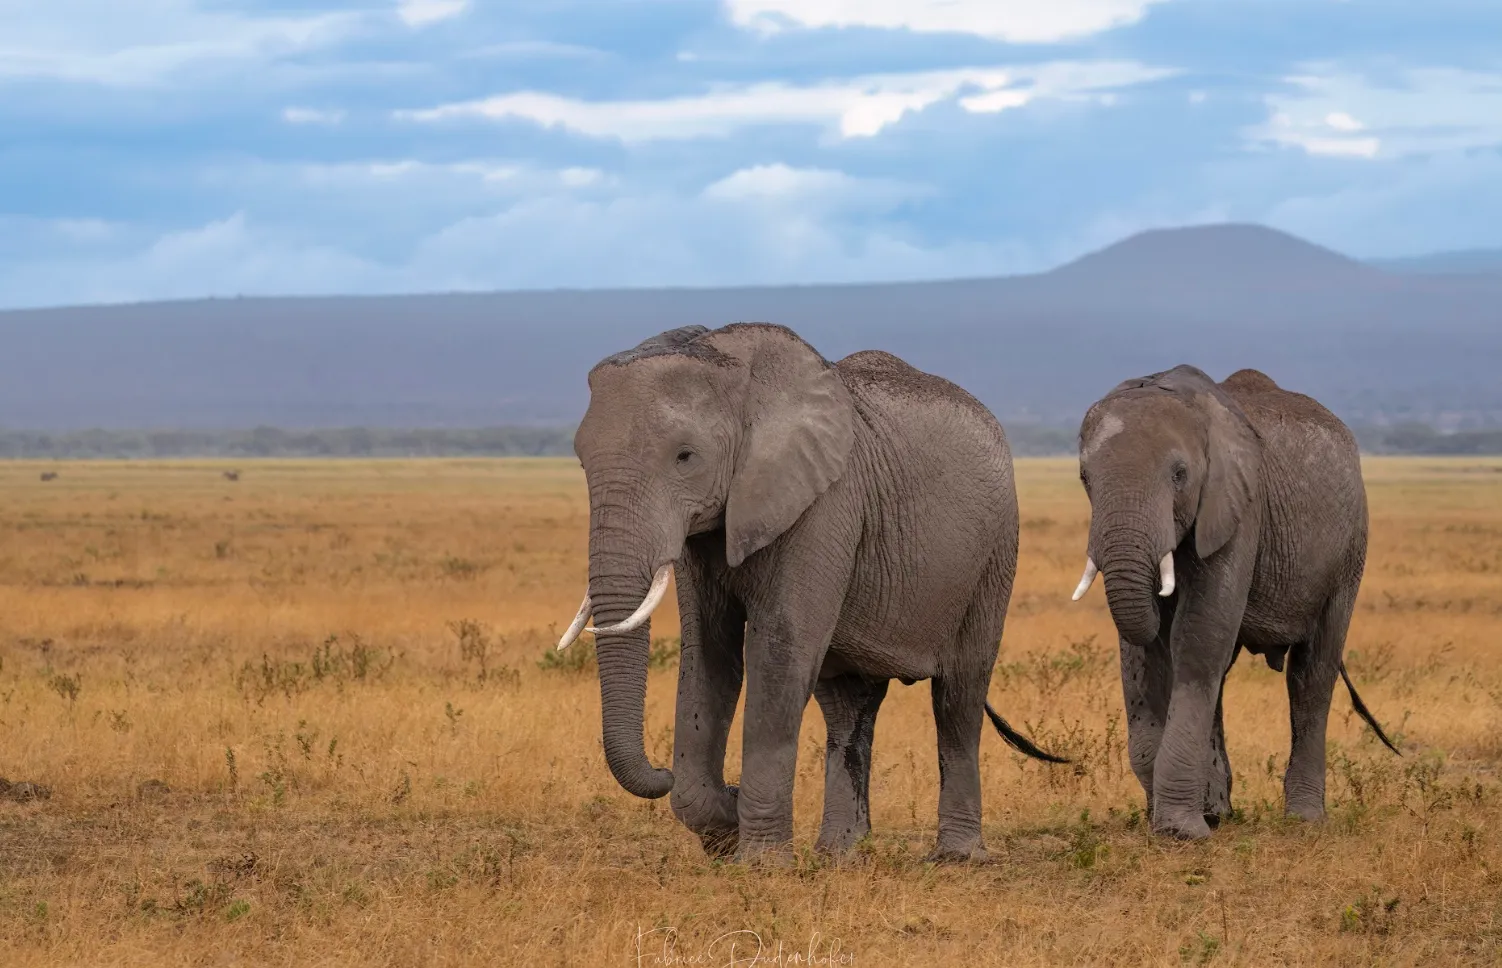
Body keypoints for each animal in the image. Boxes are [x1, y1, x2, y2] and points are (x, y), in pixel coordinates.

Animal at [558, 321, 1063, 865]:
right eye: (581, 461)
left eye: (684, 457)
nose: (661, 772)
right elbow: (709, 654)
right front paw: (724, 826)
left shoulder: (825, 505)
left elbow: (779, 653)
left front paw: (759, 862)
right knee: (846, 704)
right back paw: (839, 856)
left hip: (994, 553)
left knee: (958, 696)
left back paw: (956, 858)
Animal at [1069, 363, 1393, 841]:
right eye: (1084, 478)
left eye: (1180, 475)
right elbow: (1143, 652)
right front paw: (1184, 819)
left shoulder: (1240, 507)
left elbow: (1198, 637)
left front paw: (1181, 832)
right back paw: (1219, 813)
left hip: (1350, 549)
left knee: (1312, 672)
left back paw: (1303, 819)